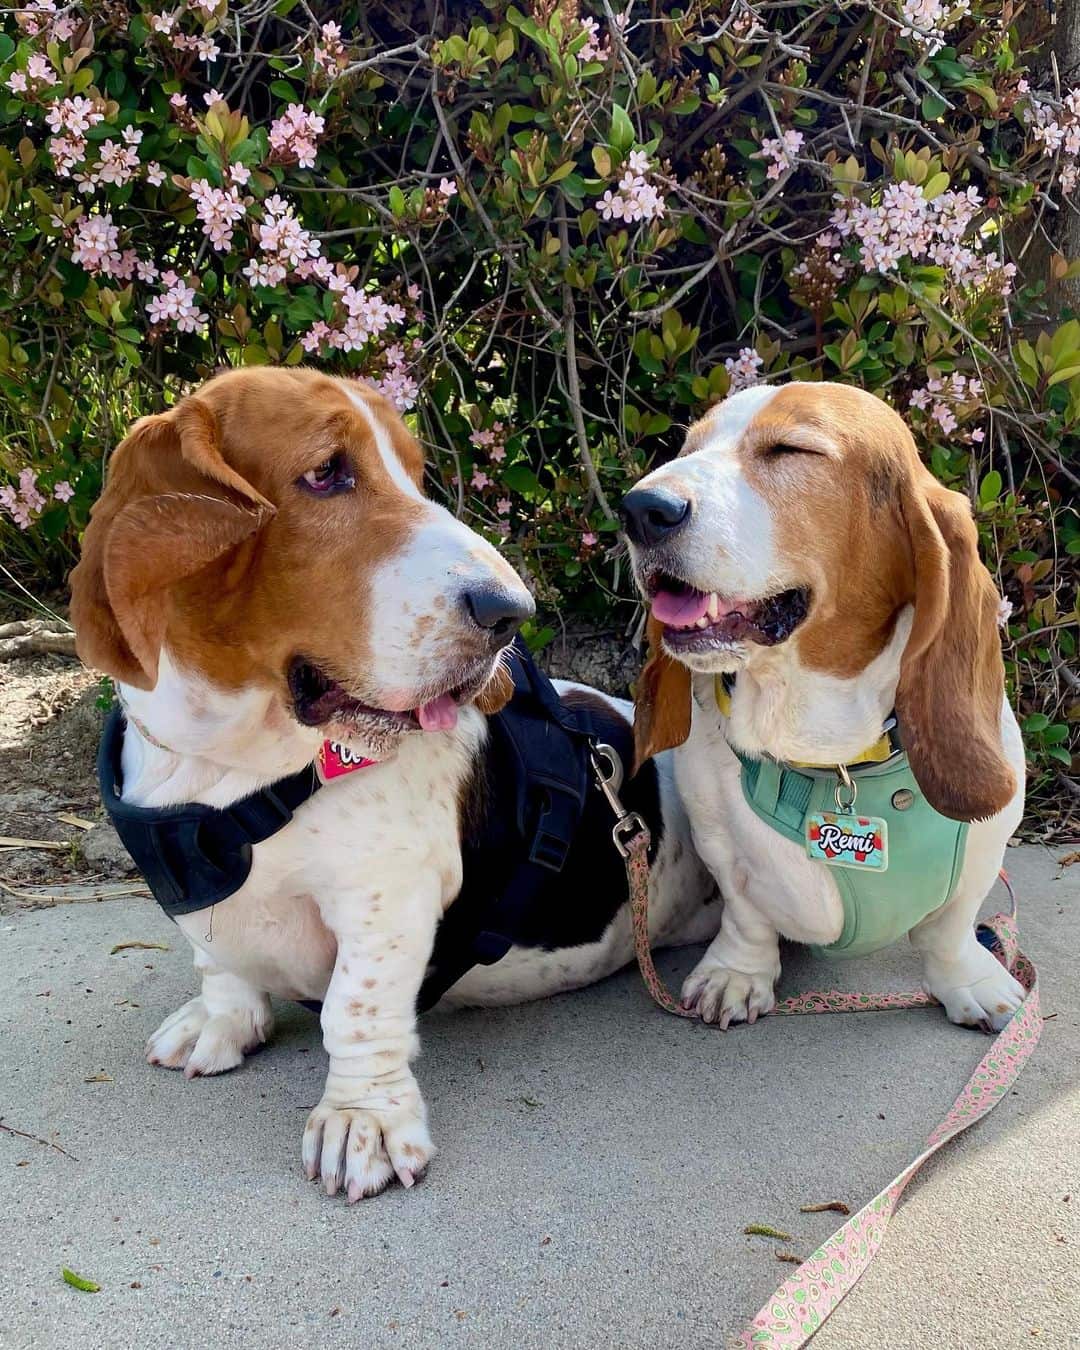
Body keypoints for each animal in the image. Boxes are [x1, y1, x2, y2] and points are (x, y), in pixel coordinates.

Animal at [75, 364, 718, 1198]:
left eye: (415, 474)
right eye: (325, 473)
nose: (511, 612)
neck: (235, 769)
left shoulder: (384, 897)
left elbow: (355, 1007)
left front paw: (363, 1123)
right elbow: (217, 957)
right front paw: (222, 1020)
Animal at [621, 380, 1026, 1031]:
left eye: (792, 449)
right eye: (688, 449)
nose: (639, 510)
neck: (828, 756)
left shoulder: (984, 853)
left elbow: (951, 929)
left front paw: (972, 982)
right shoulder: (719, 842)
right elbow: (746, 913)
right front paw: (737, 975)